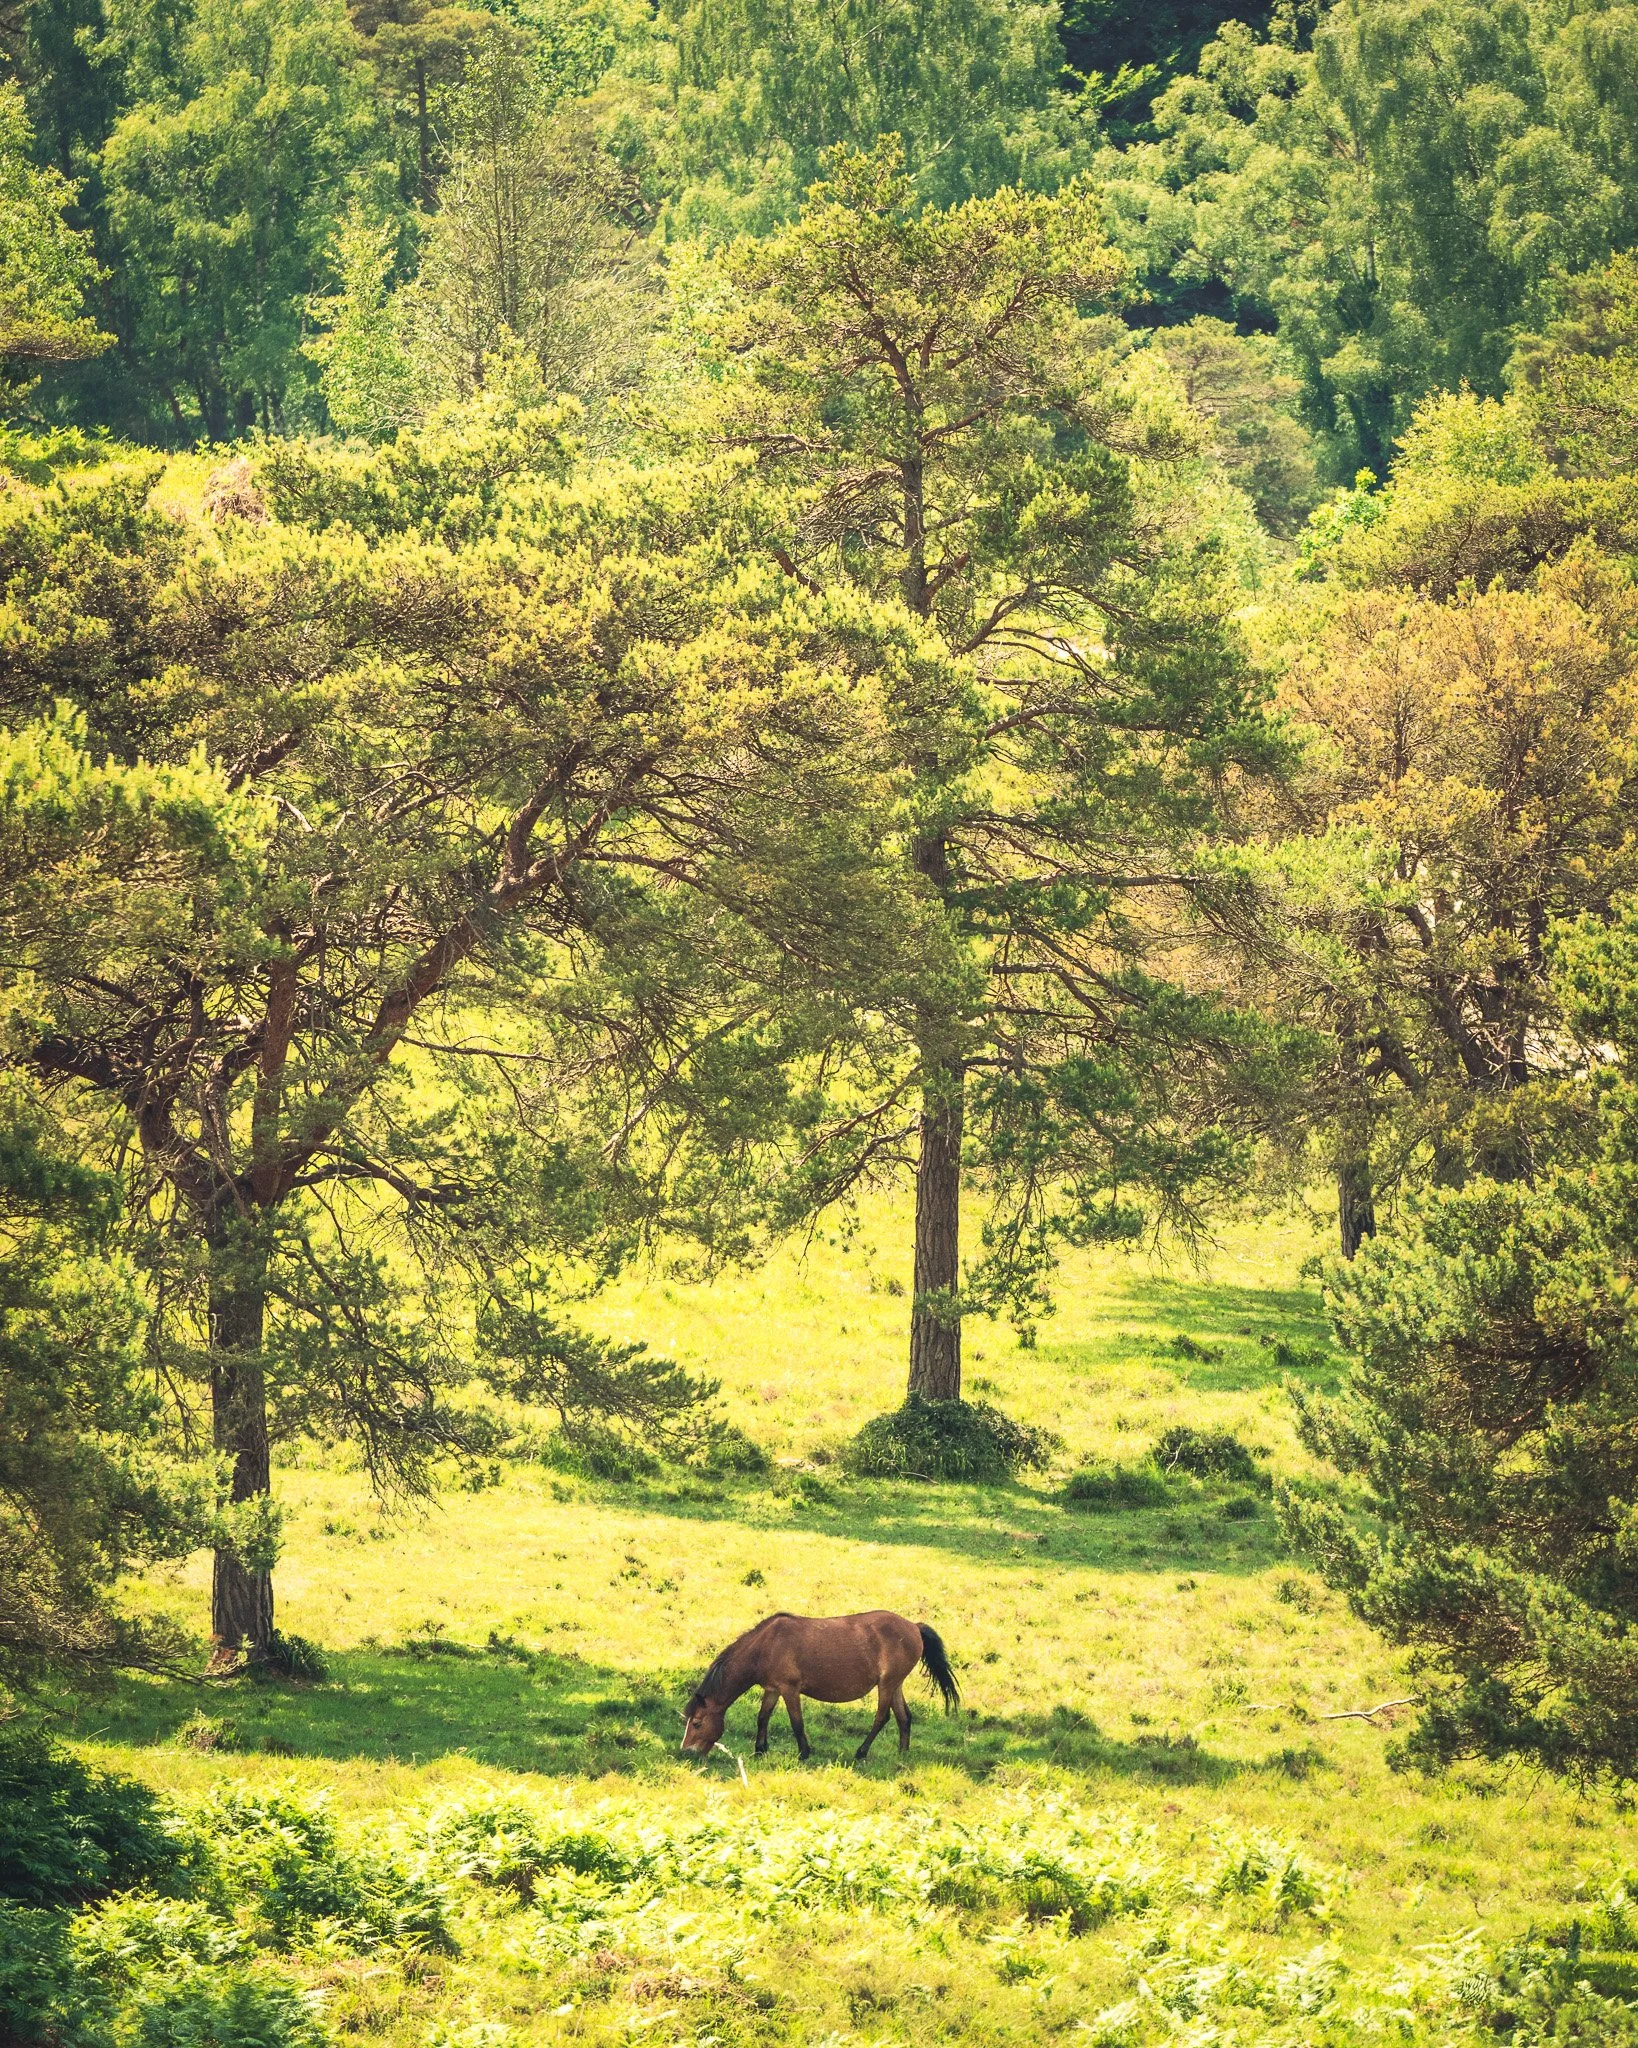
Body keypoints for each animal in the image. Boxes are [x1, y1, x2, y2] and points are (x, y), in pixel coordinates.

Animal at [680, 1609, 959, 1763]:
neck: (767, 1645)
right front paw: (759, 1751)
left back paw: (861, 1752)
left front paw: (804, 1753)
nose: (687, 1752)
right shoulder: (772, 1689)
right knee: (904, 1718)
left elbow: (797, 1723)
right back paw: (902, 1754)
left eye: (697, 1724)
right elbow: (762, 1718)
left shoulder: (789, 1689)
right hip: (895, 1684)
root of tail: (914, 1627)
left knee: (882, 1717)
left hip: (887, 1684)